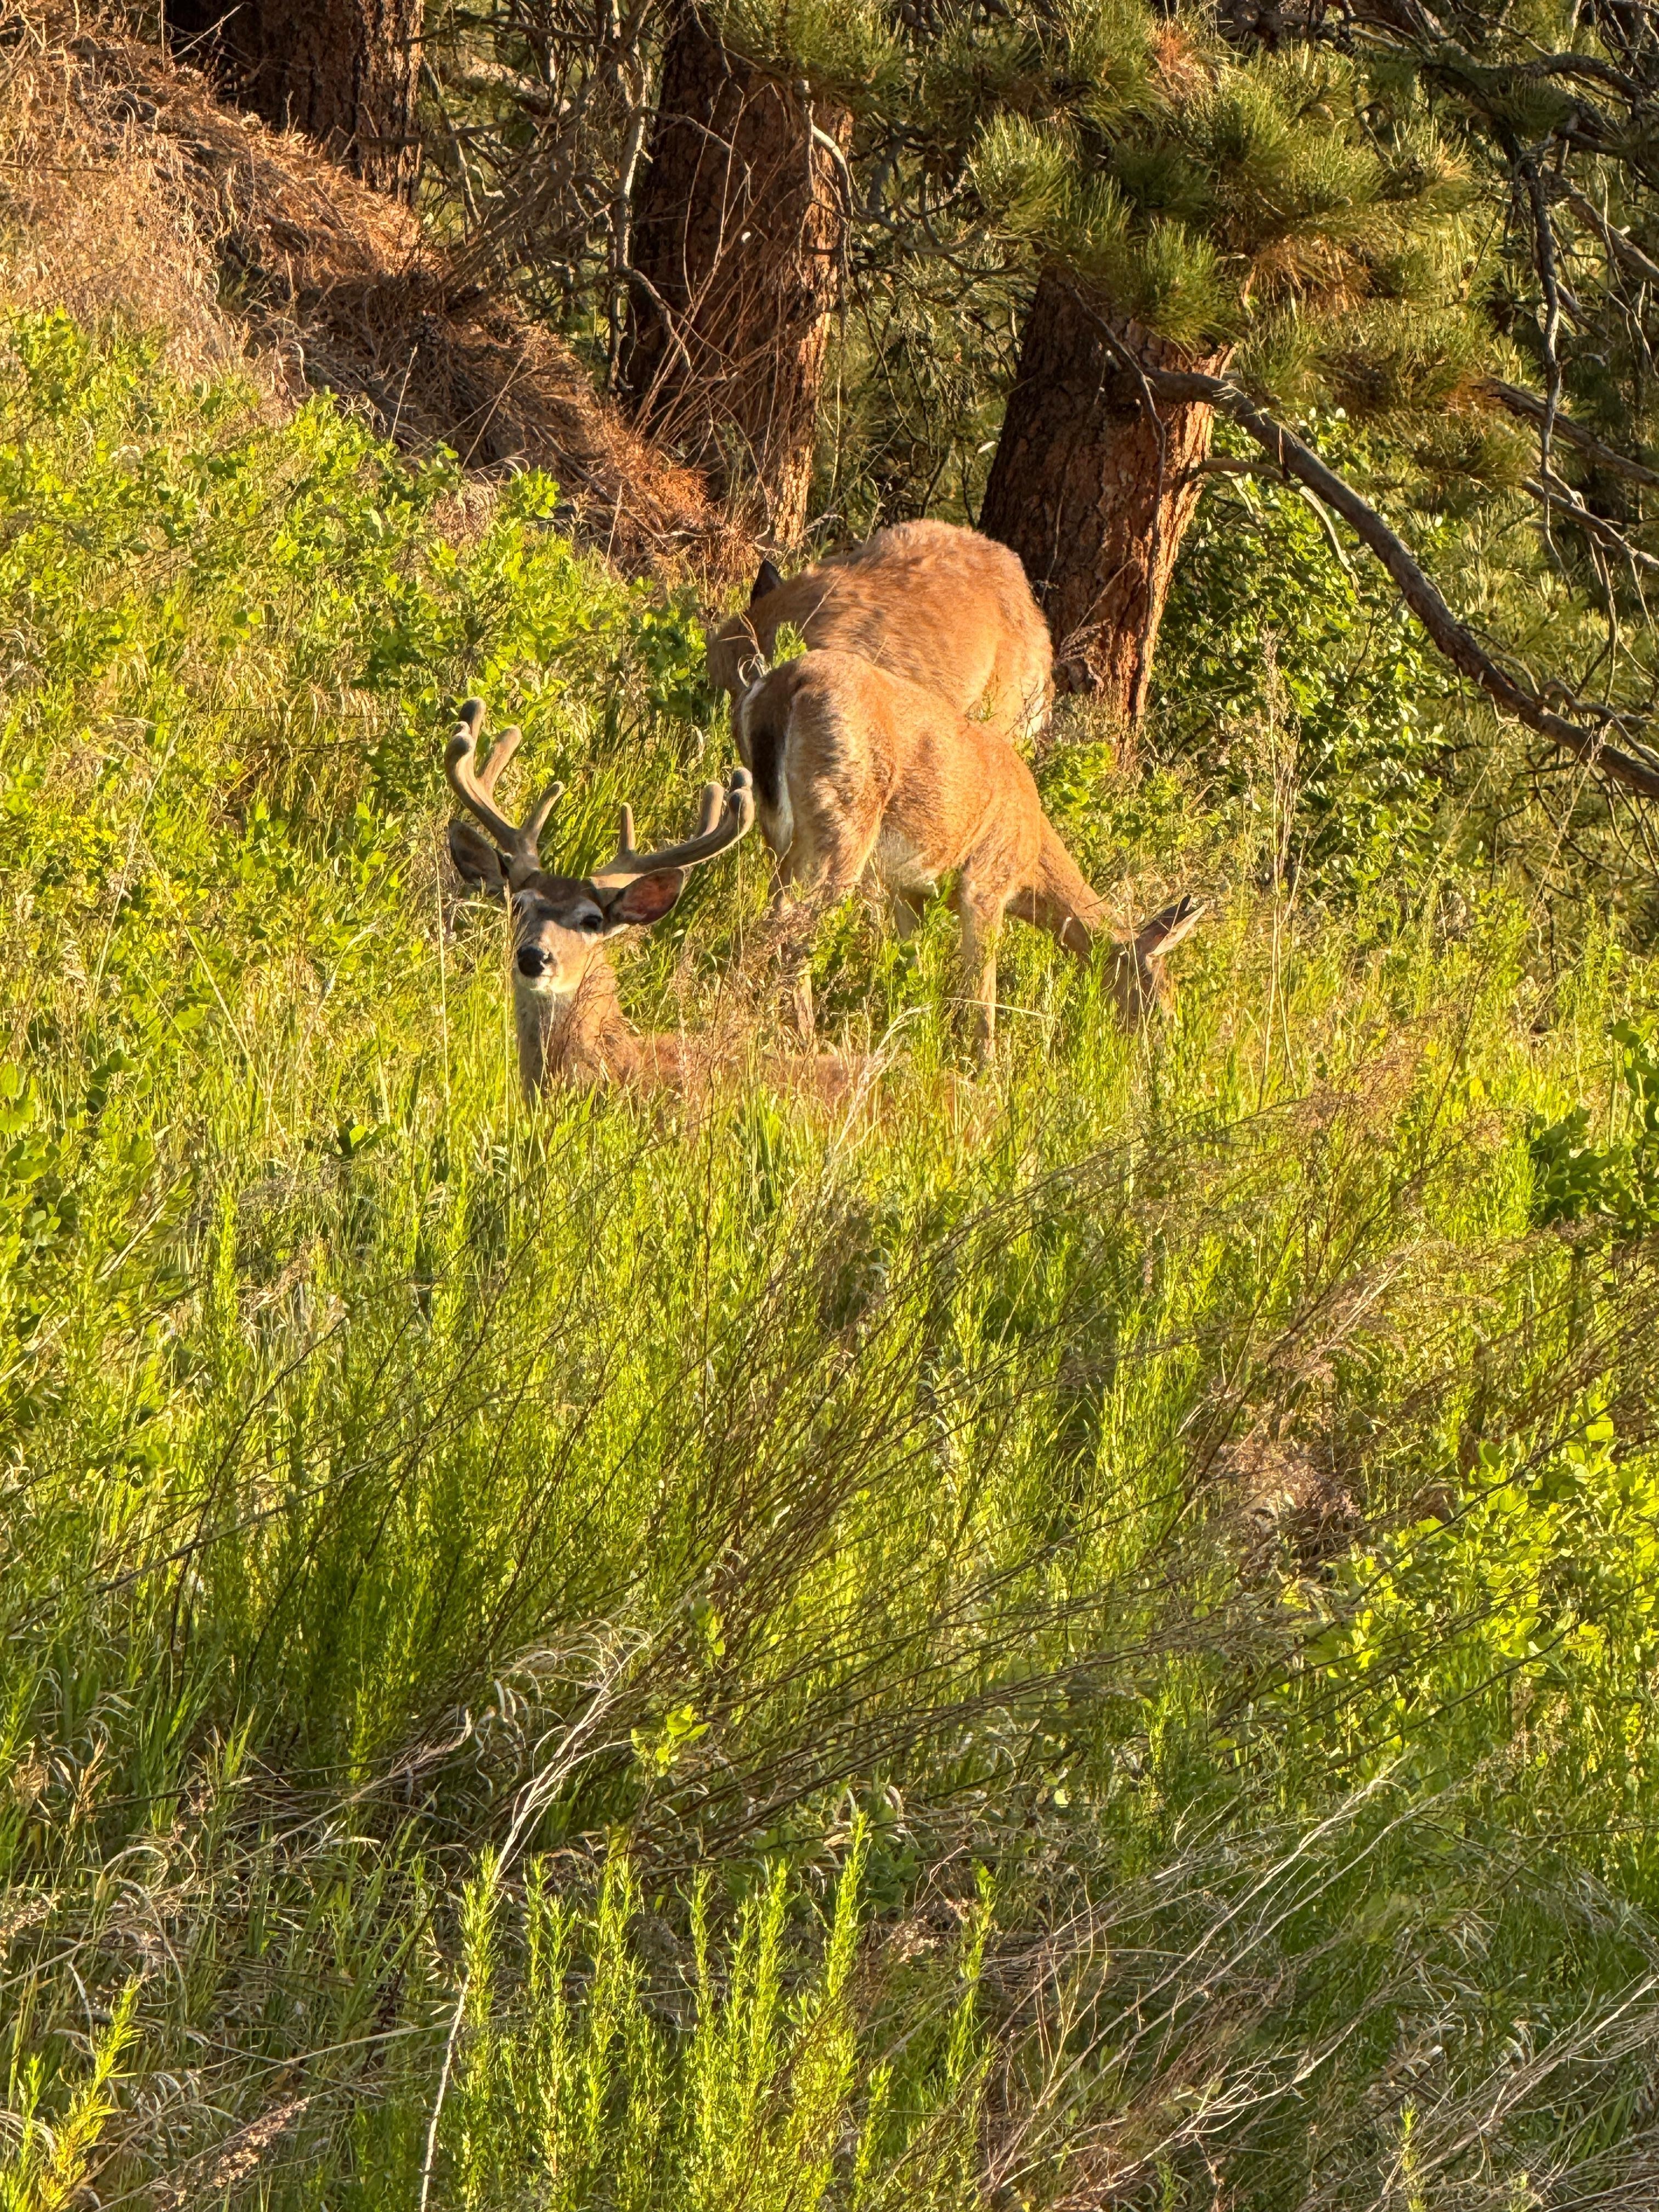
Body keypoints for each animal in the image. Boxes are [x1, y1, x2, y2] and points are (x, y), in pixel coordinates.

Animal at [732, 650, 1205, 1052]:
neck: (1033, 858)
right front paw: (985, 1068)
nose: (1168, 1045)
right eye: (1159, 992)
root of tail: (787, 683)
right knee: (793, 926)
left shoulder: (910, 890)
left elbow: (915, 964)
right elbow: (982, 982)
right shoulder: (986, 881)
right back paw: (802, 1036)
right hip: (844, 821)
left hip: (779, 829)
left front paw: (915, 1034)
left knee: (775, 911)